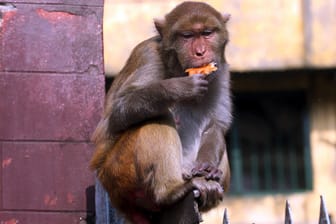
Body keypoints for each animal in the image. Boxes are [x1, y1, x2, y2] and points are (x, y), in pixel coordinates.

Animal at [90, 2, 232, 224]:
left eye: (207, 33)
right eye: (187, 36)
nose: (200, 52)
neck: (177, 67)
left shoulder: (221, 70)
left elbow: (216, 125)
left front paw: (208, 167)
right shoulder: (148, 56)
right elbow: (119, 111)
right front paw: (178, 87)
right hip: (120, 173)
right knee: (157, 118)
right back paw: (170, 191)